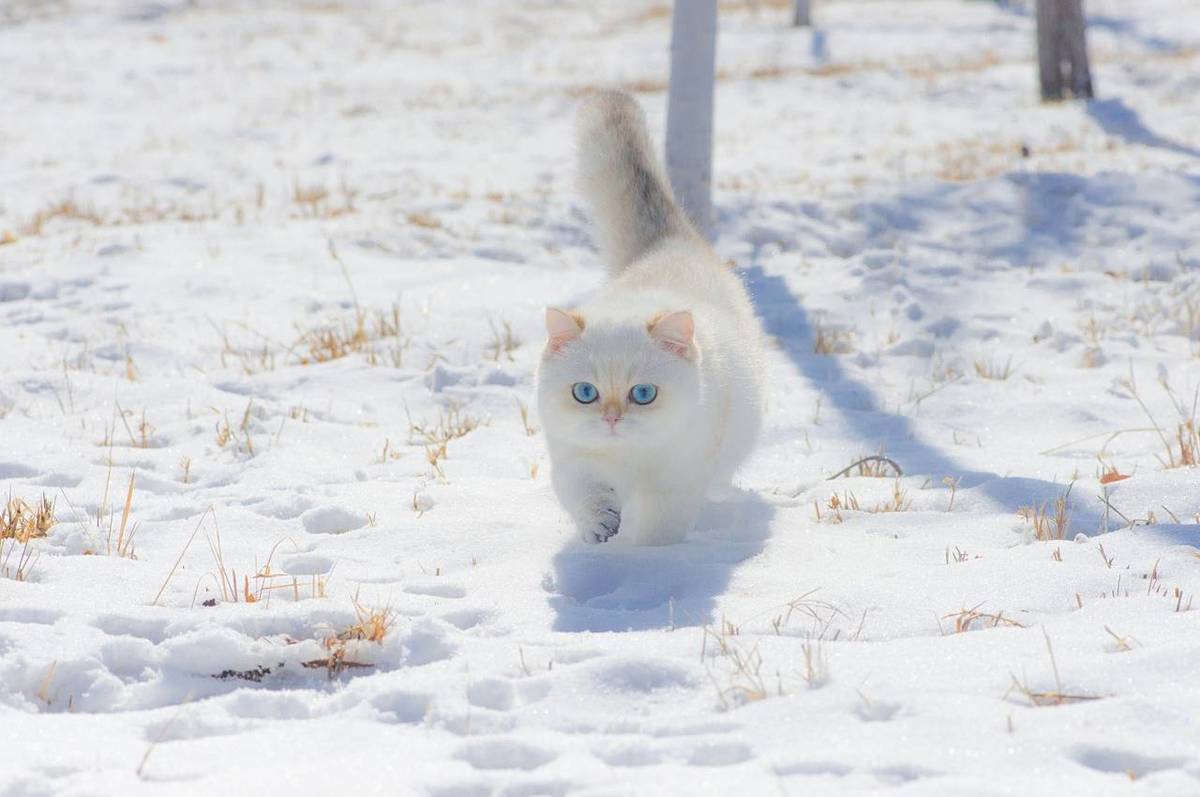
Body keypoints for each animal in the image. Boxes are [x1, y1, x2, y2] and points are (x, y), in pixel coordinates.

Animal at [540, 90, 763, 544]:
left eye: (643, 394)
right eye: (584, 392)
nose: (611, 419)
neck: (630, 460)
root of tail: (669, 244)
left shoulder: (676, 483)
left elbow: (661, 527)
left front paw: (647, 558)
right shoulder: (574, 461)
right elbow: (586, 495)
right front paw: (600, 528)